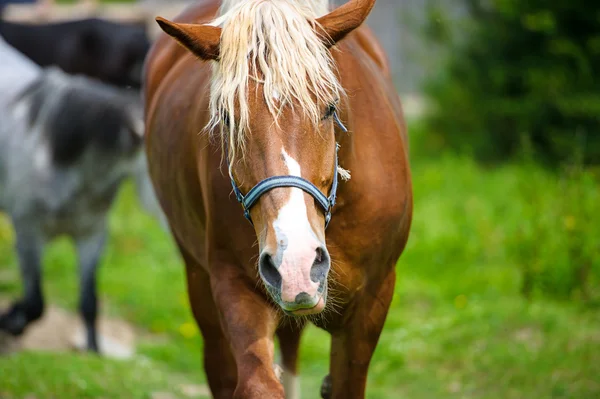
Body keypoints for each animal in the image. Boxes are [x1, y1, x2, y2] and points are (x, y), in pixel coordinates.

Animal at [144, 0, 412, 399]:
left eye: (329, 108)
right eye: (227, 118)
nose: (295, 263)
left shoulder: (372, 301)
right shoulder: (235, 285)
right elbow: (258, 384)